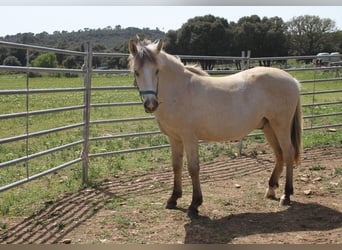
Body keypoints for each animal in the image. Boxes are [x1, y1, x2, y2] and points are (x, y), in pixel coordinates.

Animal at [128, 38, 302, 217]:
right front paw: (173, 199)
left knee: (288, 153)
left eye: (157, 71)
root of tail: (292, 80)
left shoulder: (189, 138)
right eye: (136, 72)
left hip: (281, 126)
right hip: (268, 127)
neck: (179, 91)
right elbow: (176, 166)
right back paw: (271, 189)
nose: (150, 104)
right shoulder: (174, 138)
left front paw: (194, 204)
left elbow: (193, 168)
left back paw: (286, 195)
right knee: (279, 155)